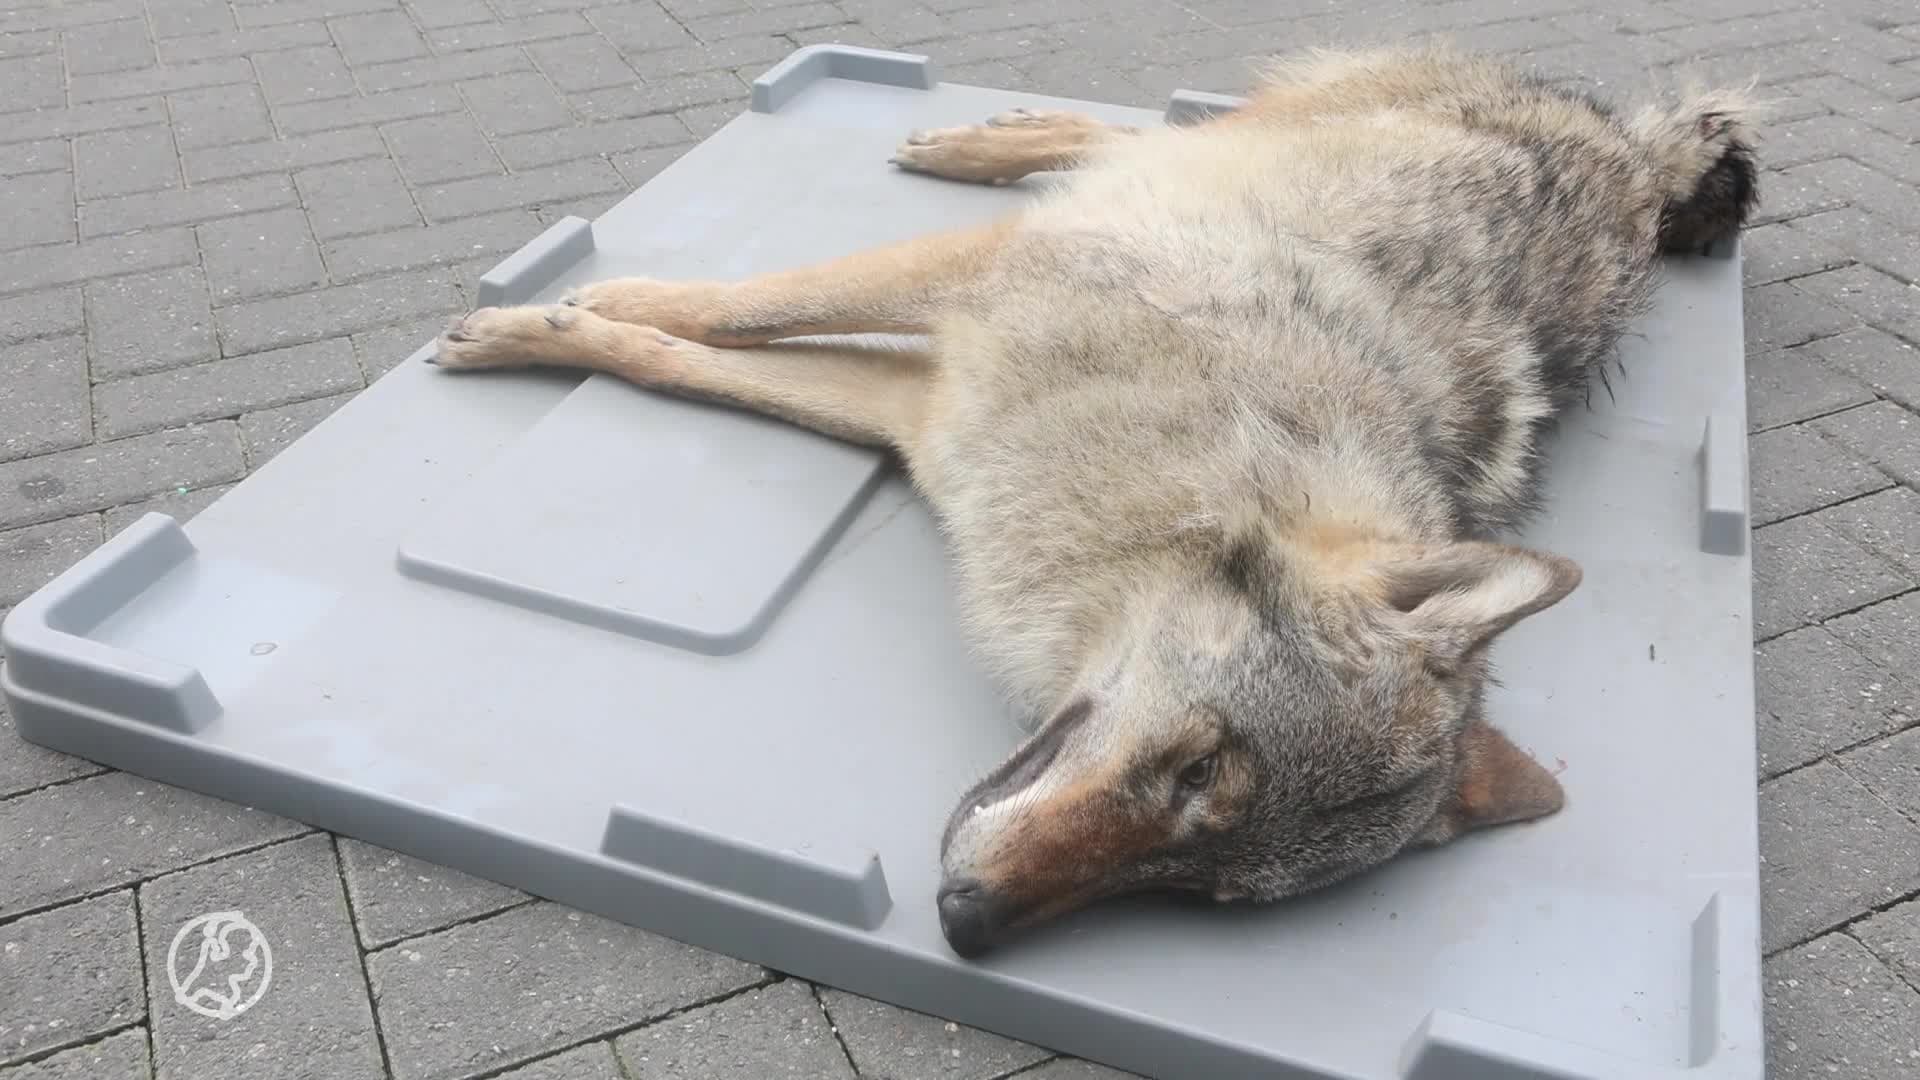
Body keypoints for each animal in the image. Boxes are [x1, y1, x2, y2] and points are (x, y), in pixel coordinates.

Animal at [429, 42, 1759, 958]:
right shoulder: (965, 293)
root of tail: (1639, 164)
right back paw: (991, 138)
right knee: (1170, 121)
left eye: (1196, 887)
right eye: (1196, 764)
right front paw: (549, 317)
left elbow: (693, 360)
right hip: (1265, 124)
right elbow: (728, 308)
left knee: (1144, 135)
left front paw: (561, 329)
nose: (965, 921)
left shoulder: (923, 416)